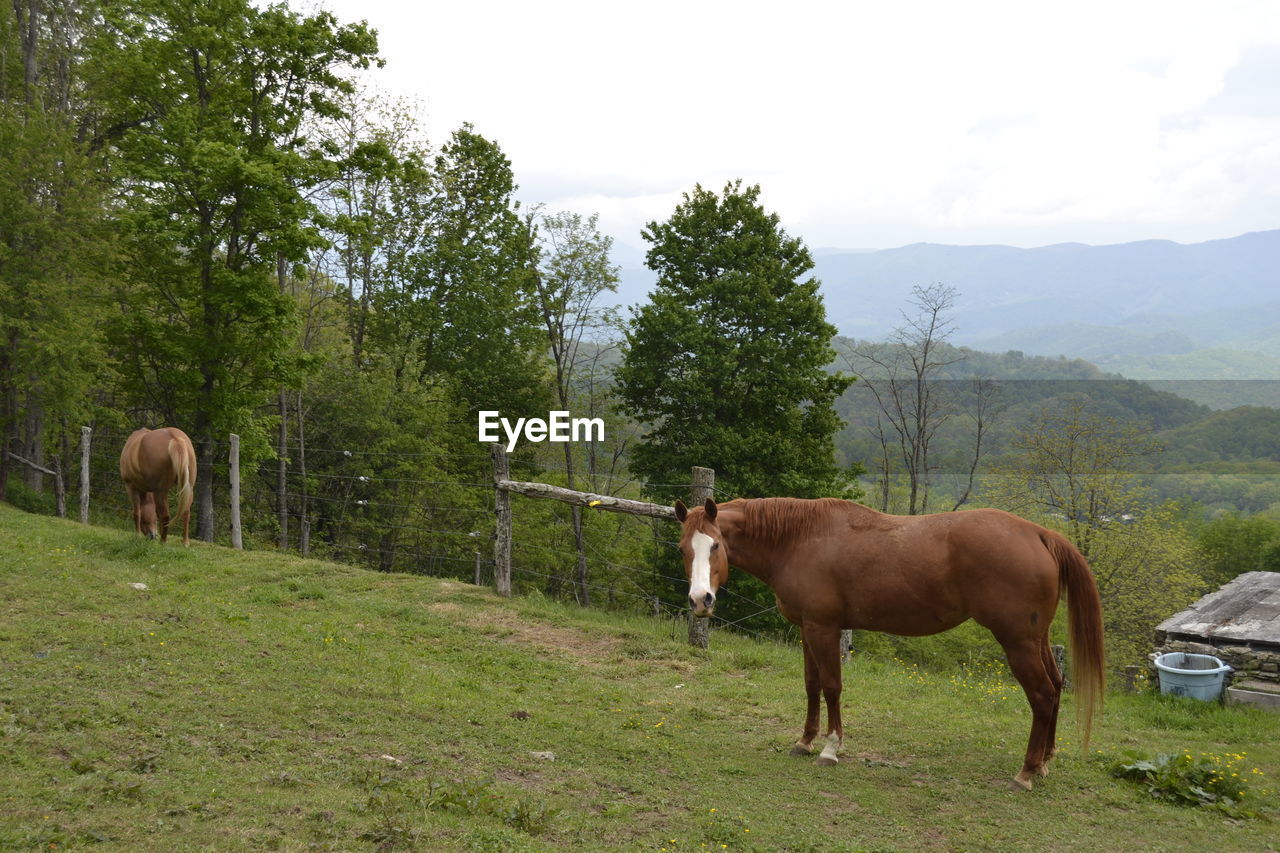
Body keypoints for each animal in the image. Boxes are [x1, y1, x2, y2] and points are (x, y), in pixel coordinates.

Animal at [675, 494, 1105, 788]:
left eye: (715, 545)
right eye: (683, 548)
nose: (700, 600)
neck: (801, 541)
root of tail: (1039, 532)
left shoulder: (824, 629)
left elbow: (832, 686)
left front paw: (831, 748)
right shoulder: (807, 629)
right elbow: (812, 685)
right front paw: (805, 741)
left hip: (1018, 642)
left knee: (1043, 695)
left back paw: (1026, 772)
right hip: (1037, 639)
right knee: (1057, 686)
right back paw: (1045, 761)